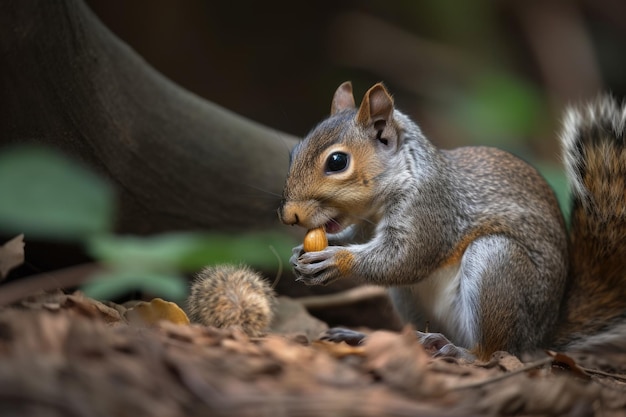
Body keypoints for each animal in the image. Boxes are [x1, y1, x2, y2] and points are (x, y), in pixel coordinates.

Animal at [276, 82, 624, 360]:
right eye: (293, 153)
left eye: (337, 161)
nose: (290, 215)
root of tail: (543, 335)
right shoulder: (366, 224)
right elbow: (359, 240)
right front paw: (300, 254)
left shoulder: (432, 210)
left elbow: (406, 260)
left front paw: (336, 261)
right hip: (408, 299)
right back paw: (371, 336)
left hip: (497, 263)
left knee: (495, 350)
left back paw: (459, 351)